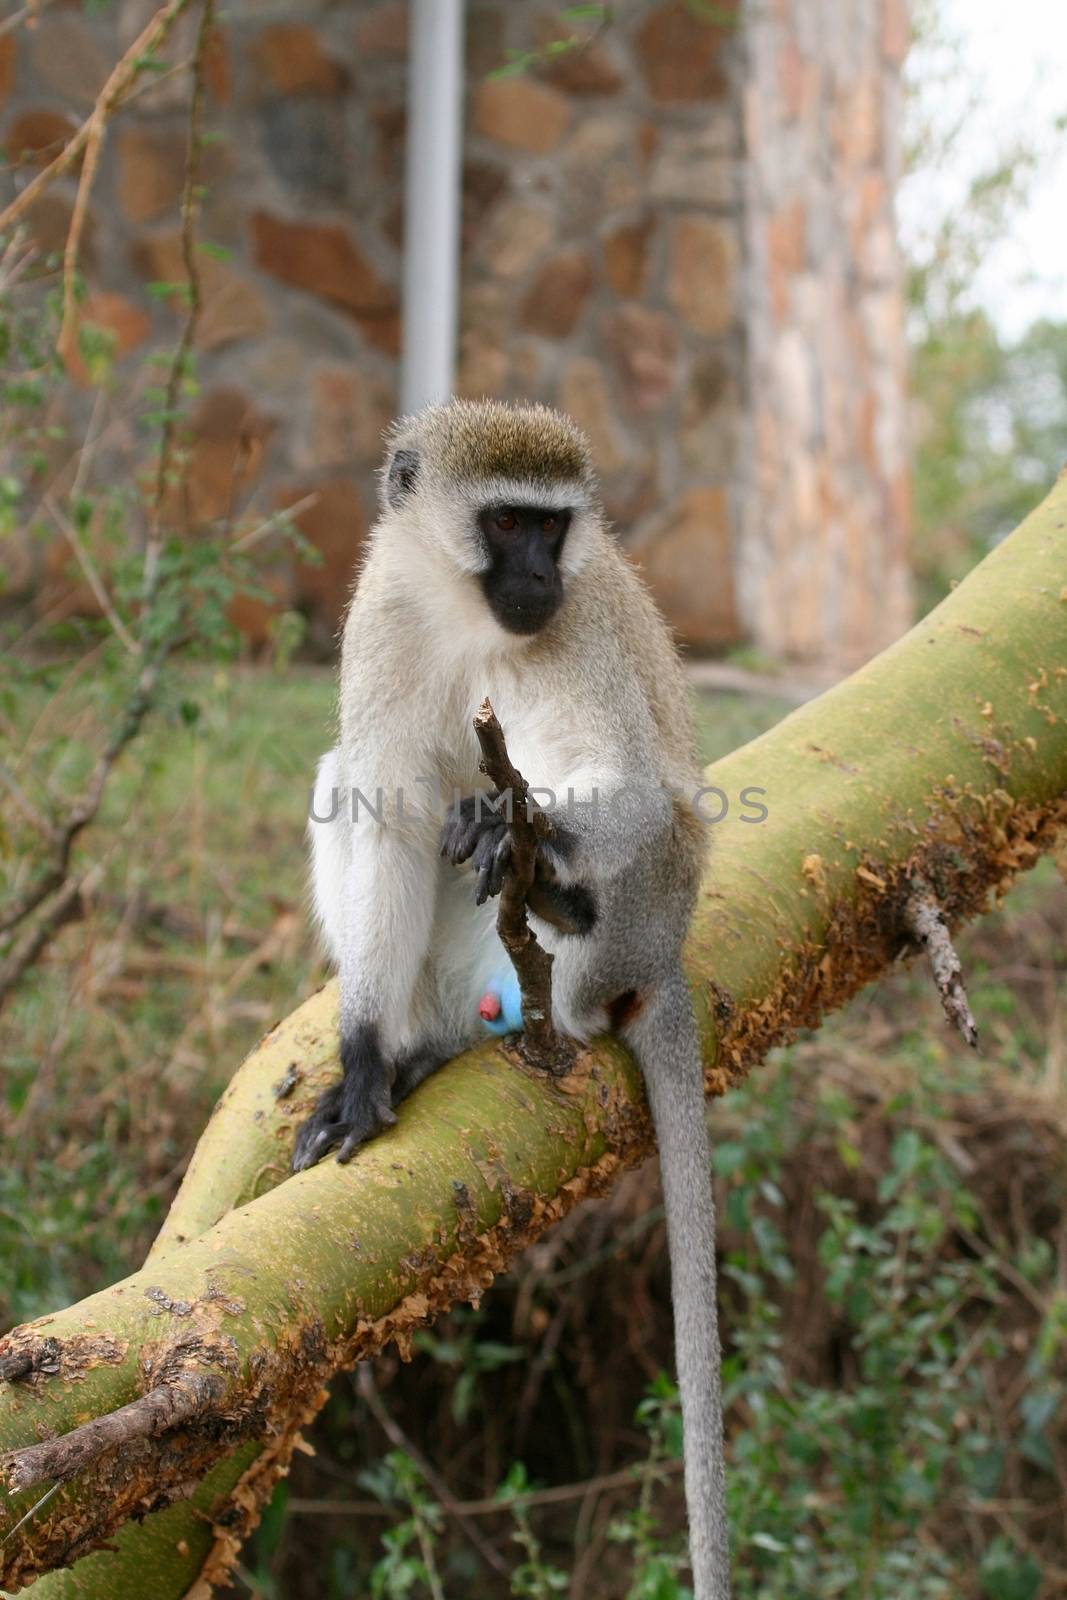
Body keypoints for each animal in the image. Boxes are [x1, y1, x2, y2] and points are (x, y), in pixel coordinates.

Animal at [295, 400, 729, 1600]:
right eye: (504, 522)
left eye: (551, 527)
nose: (536, 573)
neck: (465, 614)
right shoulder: (384, 613)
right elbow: (381, 804)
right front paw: (360, 1060)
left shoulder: (573, 630)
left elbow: (632, 785)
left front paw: (521, 825)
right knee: (354, 782)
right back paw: (417, 1044)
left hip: (647, 906)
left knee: (635, 830)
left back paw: (560, 903)